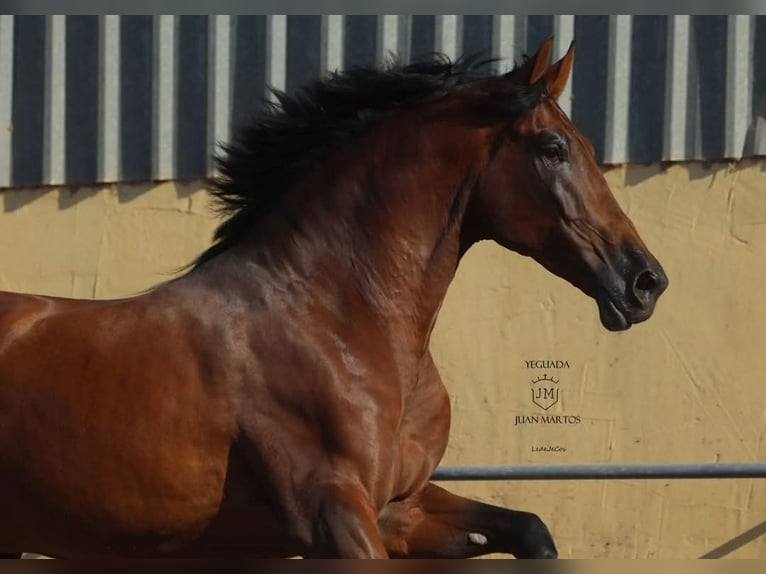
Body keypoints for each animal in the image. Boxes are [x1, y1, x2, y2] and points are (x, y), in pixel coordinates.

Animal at [0, 38, 664, 560]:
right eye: (553, 148)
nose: (645, 282)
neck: (341, 317)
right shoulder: (335, 517)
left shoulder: (399, 506)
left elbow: (531, 530)